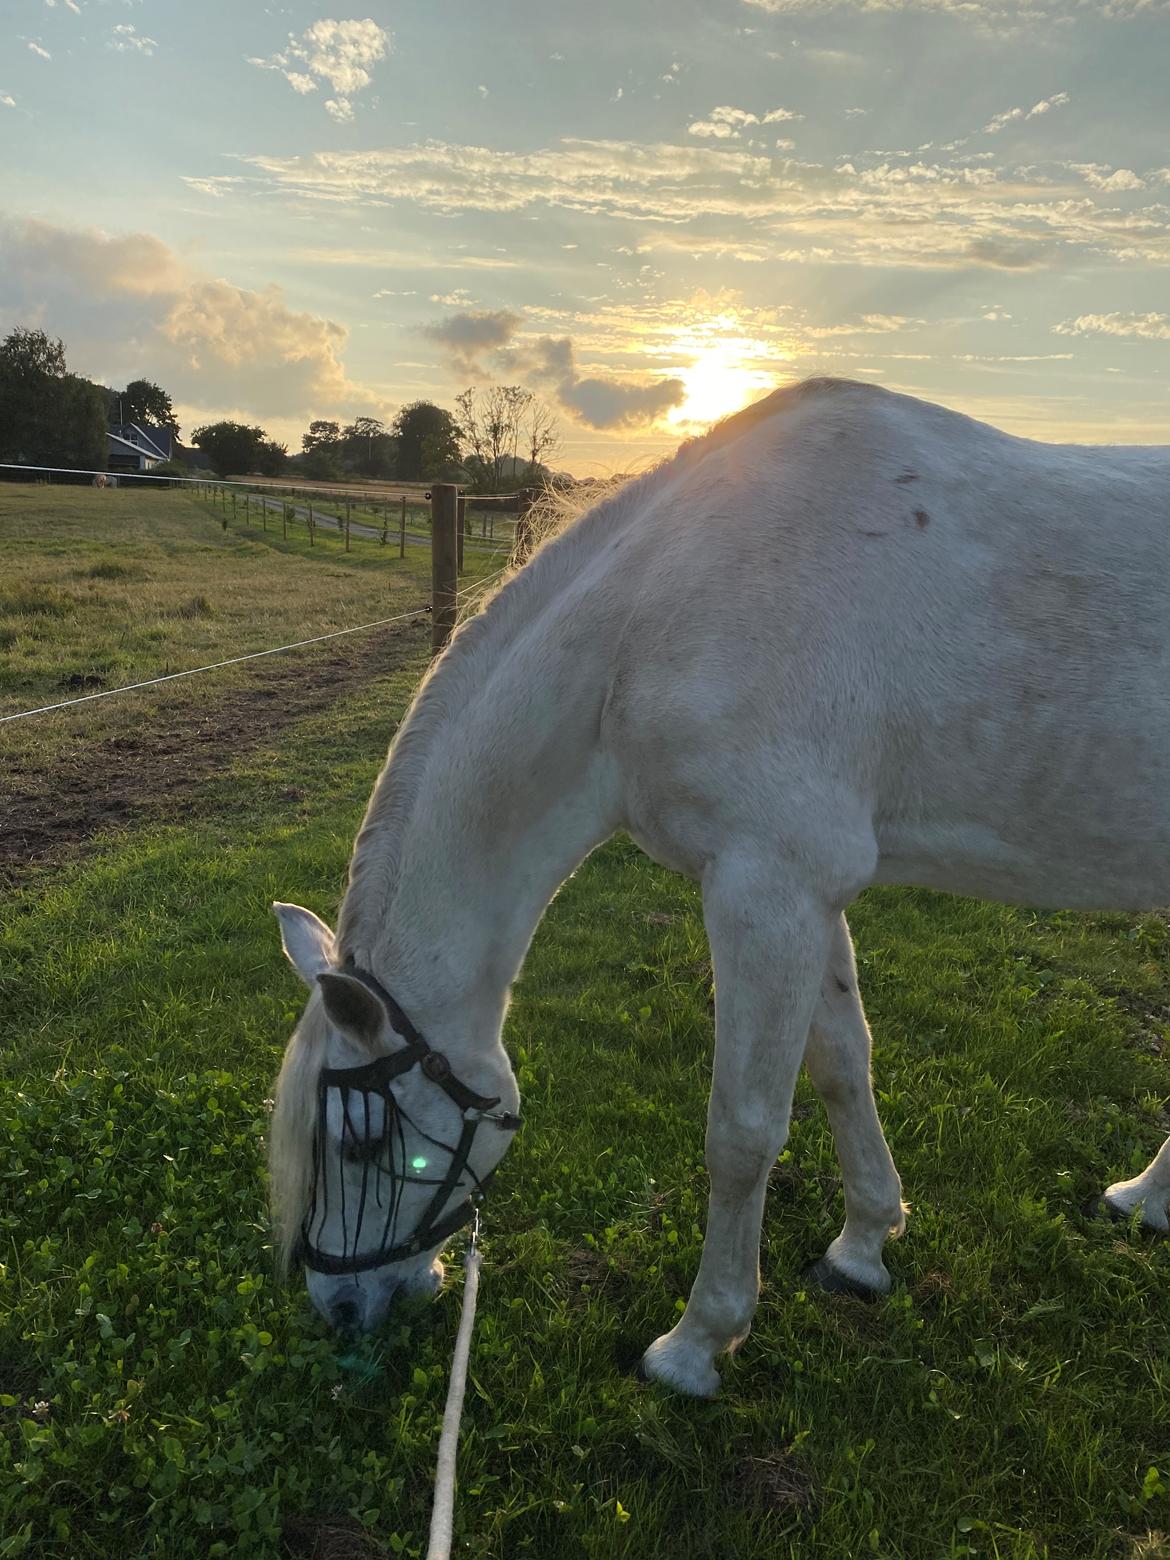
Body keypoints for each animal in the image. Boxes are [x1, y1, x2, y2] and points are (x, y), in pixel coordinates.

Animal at [268, 380, 1170, 1404]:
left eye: (360, 1144)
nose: (341, 1309)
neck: (655, 622)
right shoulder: (806, 896)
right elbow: (842, 1065)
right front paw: (864, 1244)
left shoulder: (766, 889)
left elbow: (742, 1133)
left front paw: (698, 1343)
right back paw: (1146, 1202)